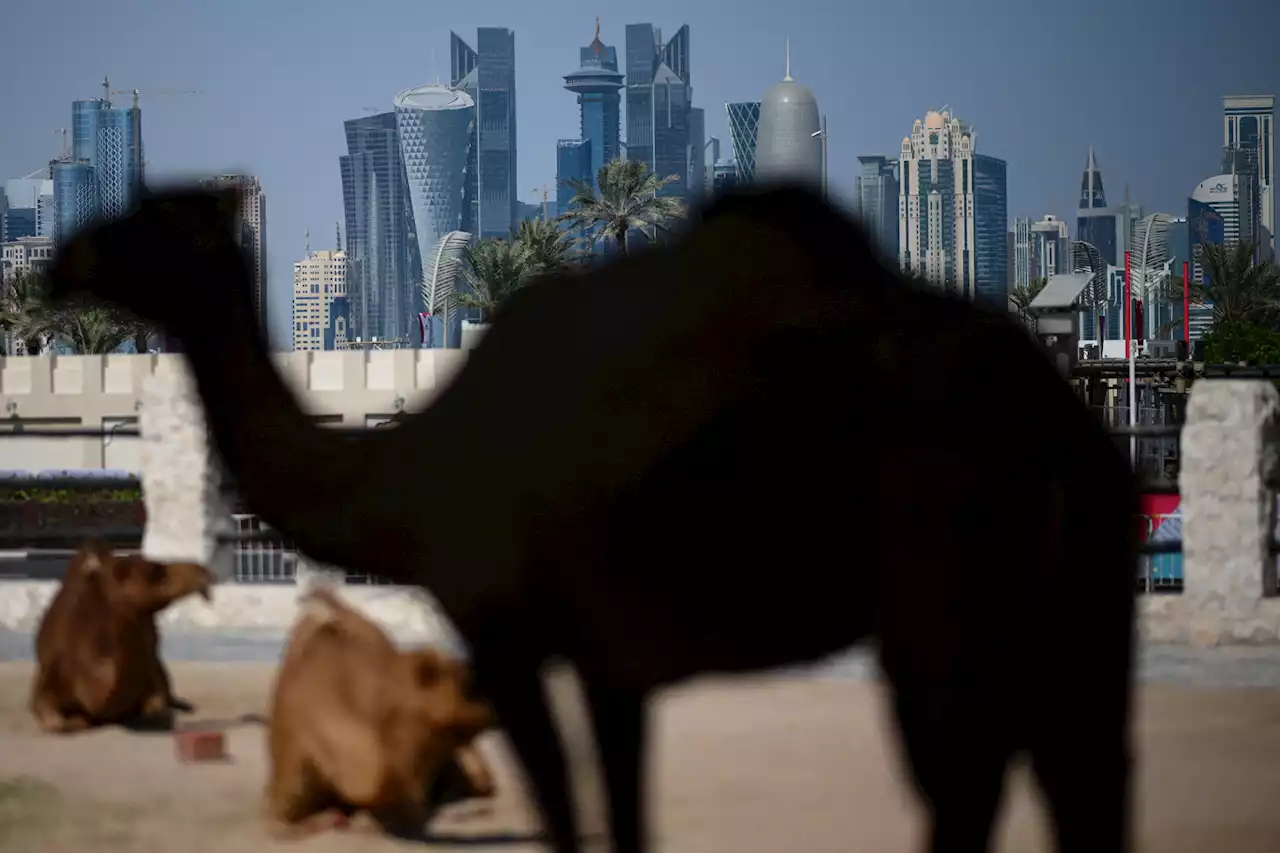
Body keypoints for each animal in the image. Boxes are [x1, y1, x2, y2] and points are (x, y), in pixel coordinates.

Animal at [29, 537, 215, 732]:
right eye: (155, 572)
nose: (204, 575)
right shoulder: (51, 673)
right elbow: (53, 719)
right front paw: (73, 719)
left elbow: (156, 706)